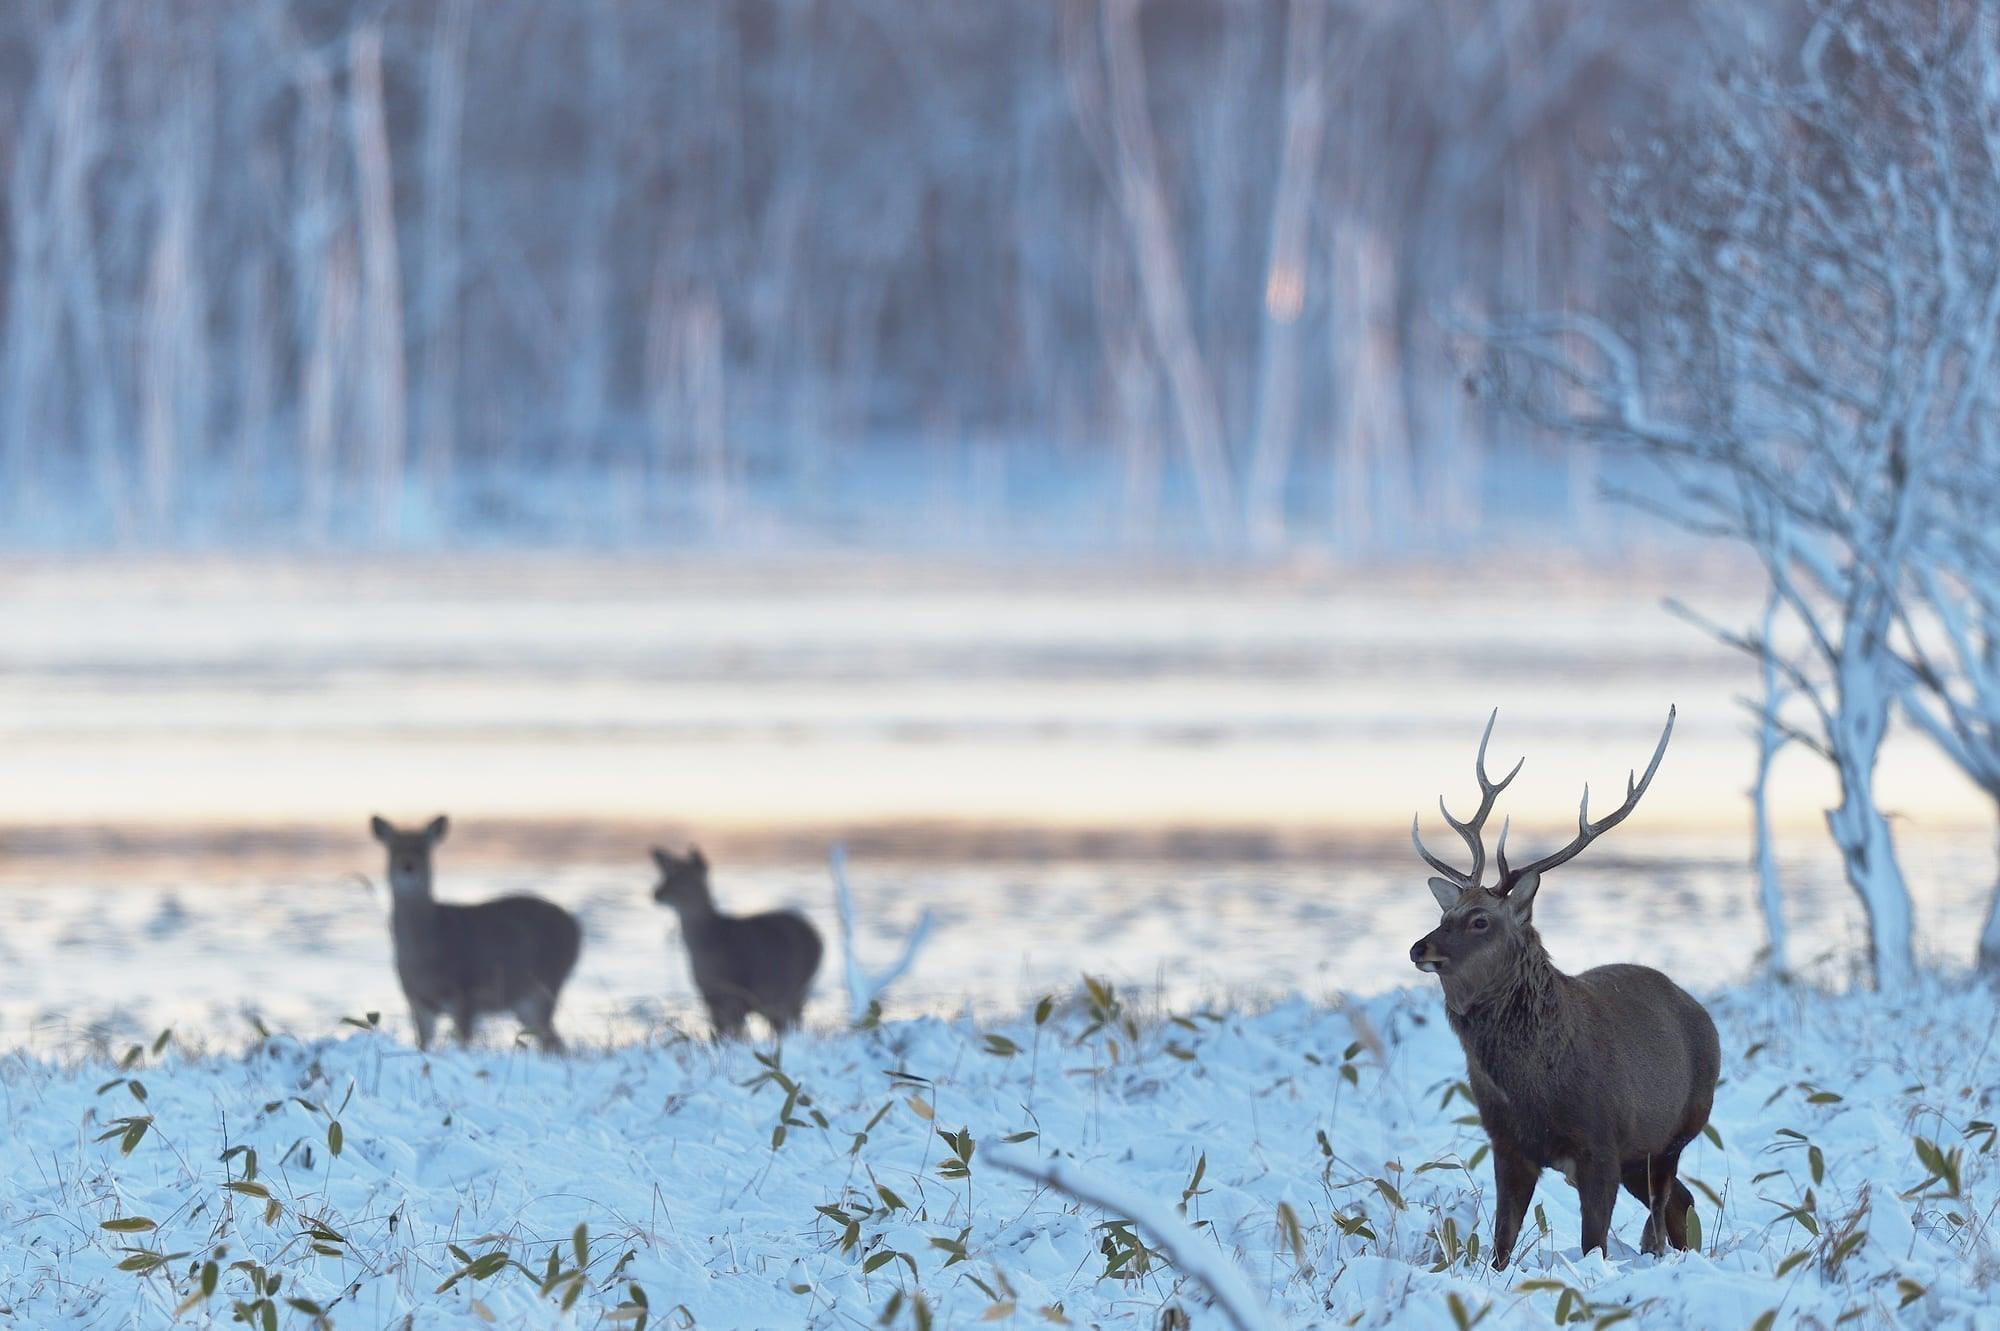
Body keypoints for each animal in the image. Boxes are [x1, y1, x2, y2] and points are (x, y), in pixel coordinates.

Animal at [370, 807, 580, 1047]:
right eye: (393, 848)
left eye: (424, 848)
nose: (408, 866)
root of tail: (577, 928)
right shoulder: (417, 1002)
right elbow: (423, 1046)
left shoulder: (465, 995)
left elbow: (464, 1043)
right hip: (525, 1000)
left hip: (546, 986)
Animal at [648, 839, 820, 1039]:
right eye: (666, 875)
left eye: (684, 876)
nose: (656, 893)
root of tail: (819, 939)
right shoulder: (709, 995)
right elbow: (719, 1032)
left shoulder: (739, 990)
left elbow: (735, 1032)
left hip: (794, 988)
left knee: (789, 1022)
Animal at [1408, 703, 1720, 1263]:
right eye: (1445, 914)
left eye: (1480, 920)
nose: (1420, 948)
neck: (1536, 1091)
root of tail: (1706, 1019)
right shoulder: (1506, 1144)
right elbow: (1501, 1244)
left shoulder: (1602, 1144)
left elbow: (1593, 1242)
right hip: (1642, 1153)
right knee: (1680, 1202)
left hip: (1676, 1131)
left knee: (1665, 1205)